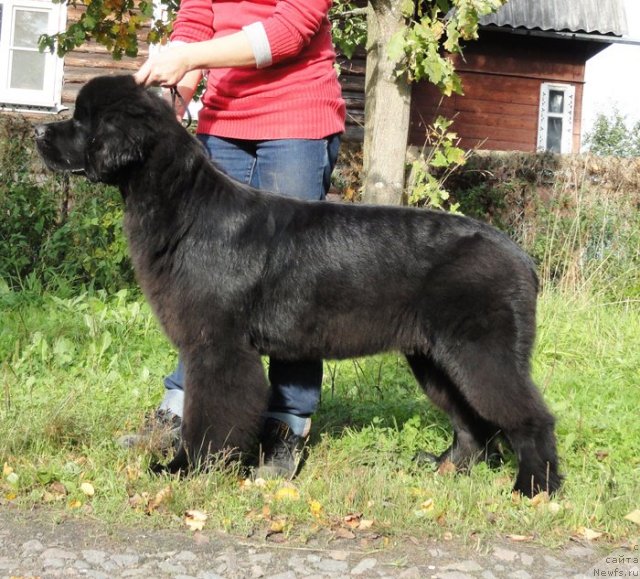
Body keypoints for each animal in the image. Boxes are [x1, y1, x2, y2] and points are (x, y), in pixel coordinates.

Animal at [35, 75, 560, 496]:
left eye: (82, 121)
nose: (39, 132)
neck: (184, 208)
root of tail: (520, 257)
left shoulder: (219, 346)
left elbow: (211, 415)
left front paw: (187, 468)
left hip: (482, 353)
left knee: (531, 416)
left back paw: (534, 488)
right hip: (435, 358)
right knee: (471, 421)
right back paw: (444, 469)